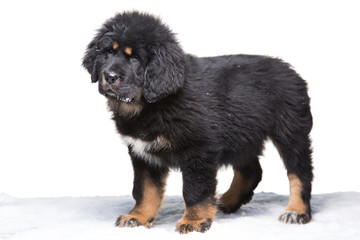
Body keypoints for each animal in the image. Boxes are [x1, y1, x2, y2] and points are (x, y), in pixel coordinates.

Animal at [83, 11, 314, 234]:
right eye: (107, 53)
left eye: (136, 58)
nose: (109, 76)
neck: (151, 104)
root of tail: (291, 70)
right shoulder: (143, 153)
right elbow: (145, 189)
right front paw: (137, 217)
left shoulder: (199, 151)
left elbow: (195, 190)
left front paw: (193, 221)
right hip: (241, 135)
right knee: (251, 171)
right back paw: (225, 202)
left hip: (290, 130)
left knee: (299, 171)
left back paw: (296, 211)